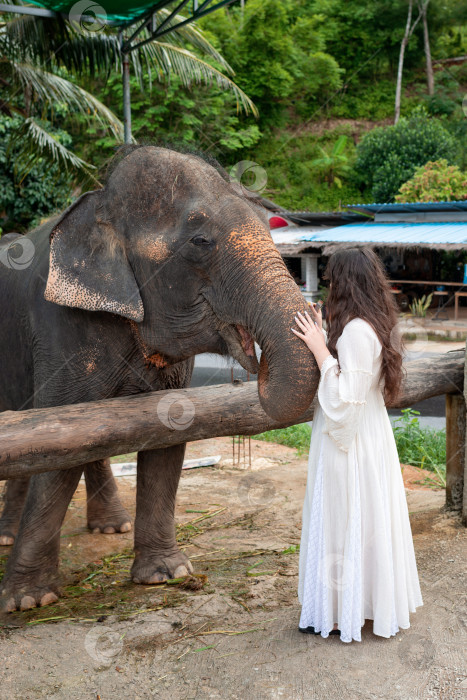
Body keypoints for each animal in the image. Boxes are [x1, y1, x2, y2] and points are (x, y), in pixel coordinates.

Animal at [0, 145, 318, 608]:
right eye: (199, 241)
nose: (254, 370)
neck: (100, 205)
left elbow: (167, 432)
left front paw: (166, 574)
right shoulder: (60, 326)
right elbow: (54, 443)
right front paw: (29, 601)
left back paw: (110, 527)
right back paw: (9, 538)